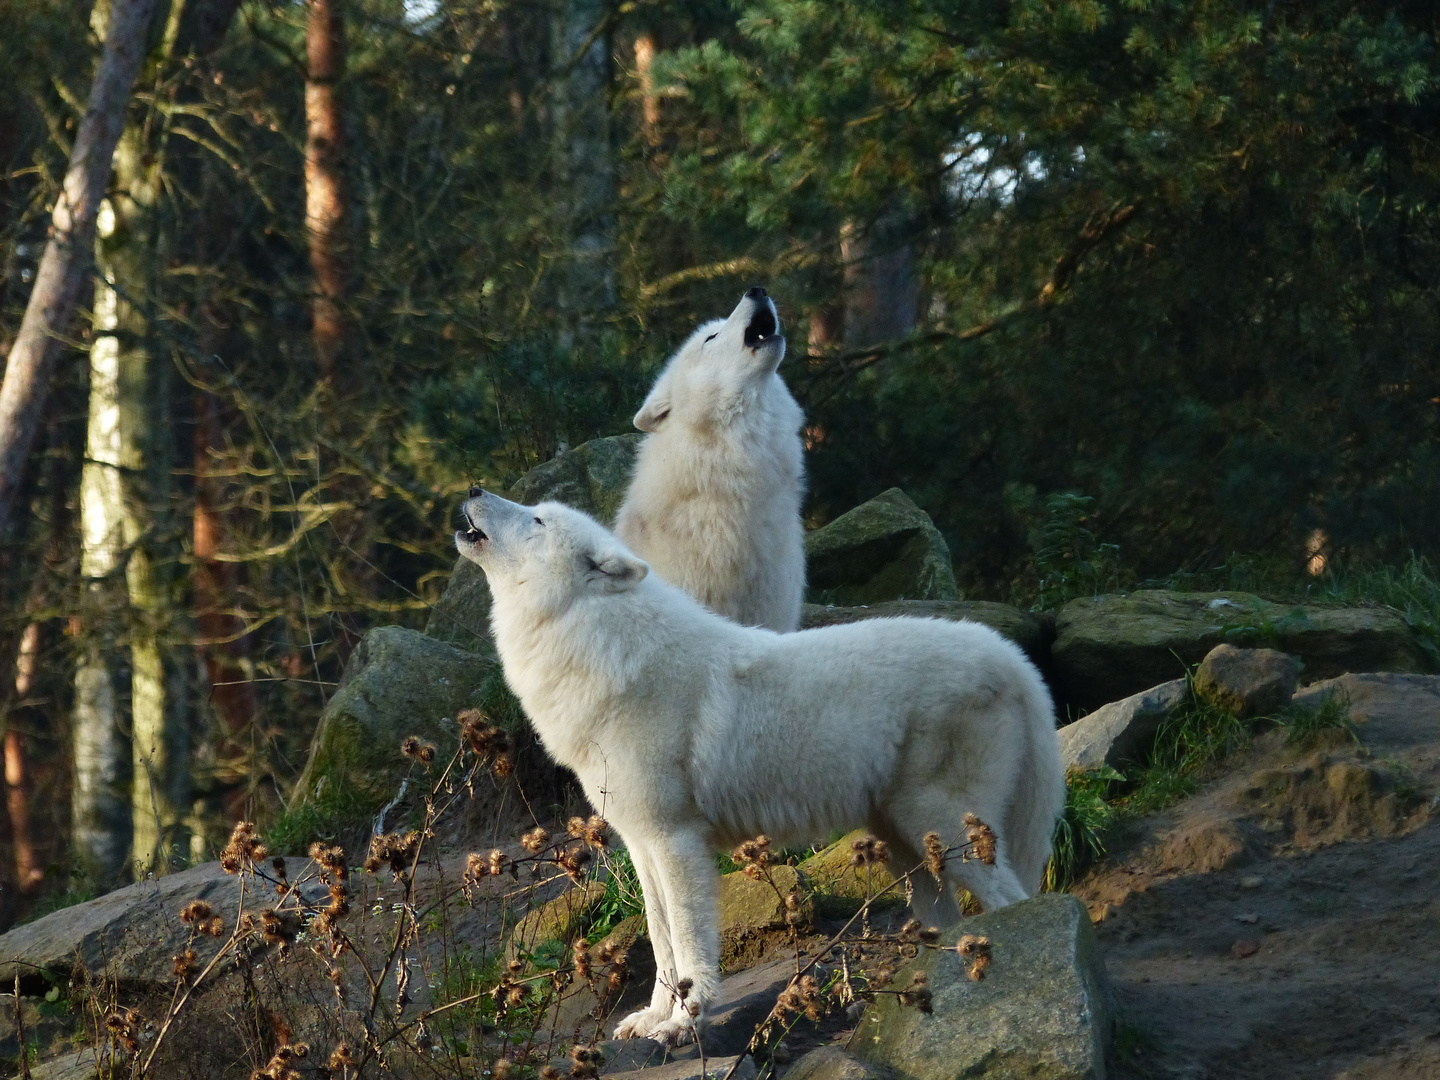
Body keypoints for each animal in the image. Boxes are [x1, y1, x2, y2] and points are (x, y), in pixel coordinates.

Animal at [455, 489, 1065, 1048]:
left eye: (537, 519)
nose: (475, 490)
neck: (602, 646)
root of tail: (1011, 655)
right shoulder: (642, 843)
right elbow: (660, 938)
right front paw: (652, 1019)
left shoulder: (676, 841)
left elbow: (689, 941)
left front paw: (684, 1023)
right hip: (905, 845)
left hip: (940, 828)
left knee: (1012, 902)